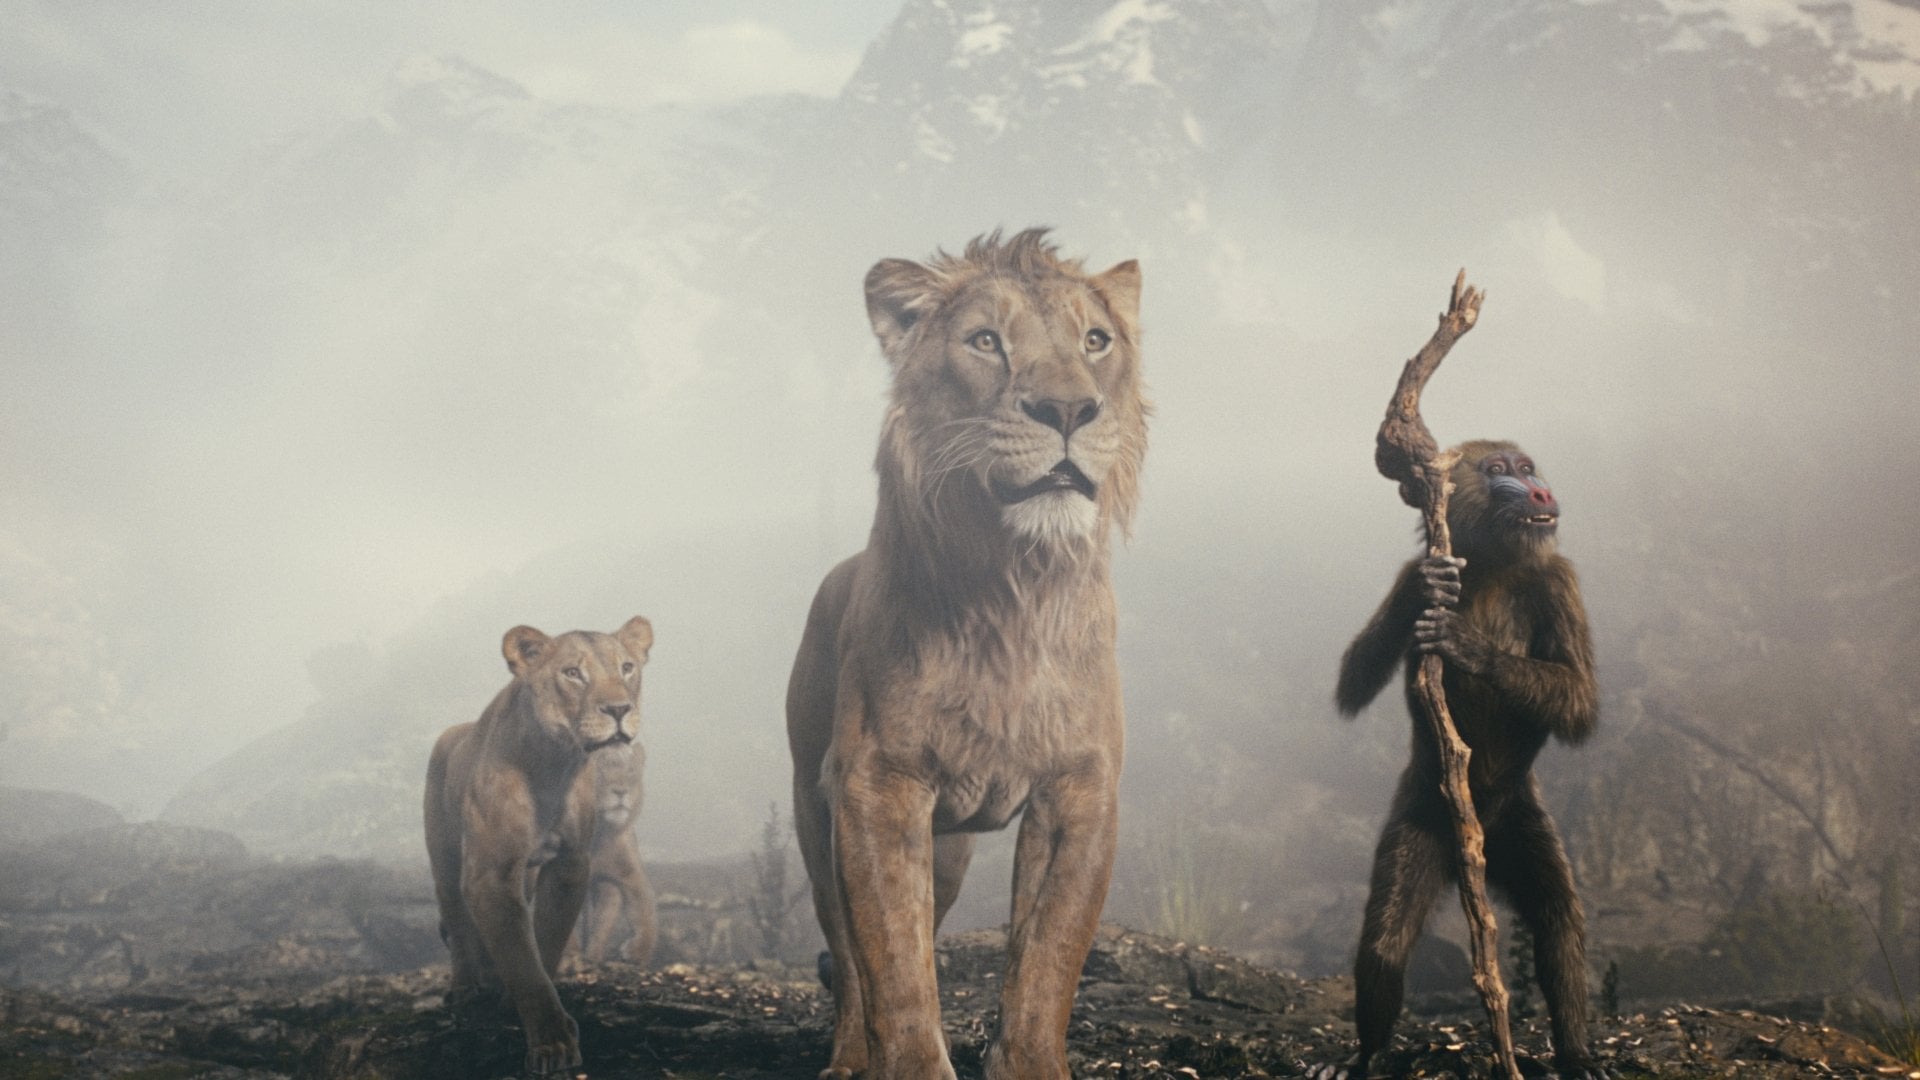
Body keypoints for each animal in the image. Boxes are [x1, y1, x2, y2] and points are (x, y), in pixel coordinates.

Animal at [423, 615, 653, 1077]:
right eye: (573, 673)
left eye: (627, 668)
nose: (619, 710)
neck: (553, 765)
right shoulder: (490, 874)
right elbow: (521, 958)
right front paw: (552, 1044)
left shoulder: (569, 865)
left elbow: (544, 941)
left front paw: (527, 1009)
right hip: (445, 858)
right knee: (457, 919)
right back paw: (467, 989)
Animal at [786, 228, 1147, 1080]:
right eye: (986, 342)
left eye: (1096, 341)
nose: (1067, 409)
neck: (1014, 589)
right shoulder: (877, 786)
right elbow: (895, 967)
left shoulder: (1080, 790)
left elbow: (1047, 961)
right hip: (816, 810)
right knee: (849, 956)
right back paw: (849, 1057)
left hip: (947, 850)